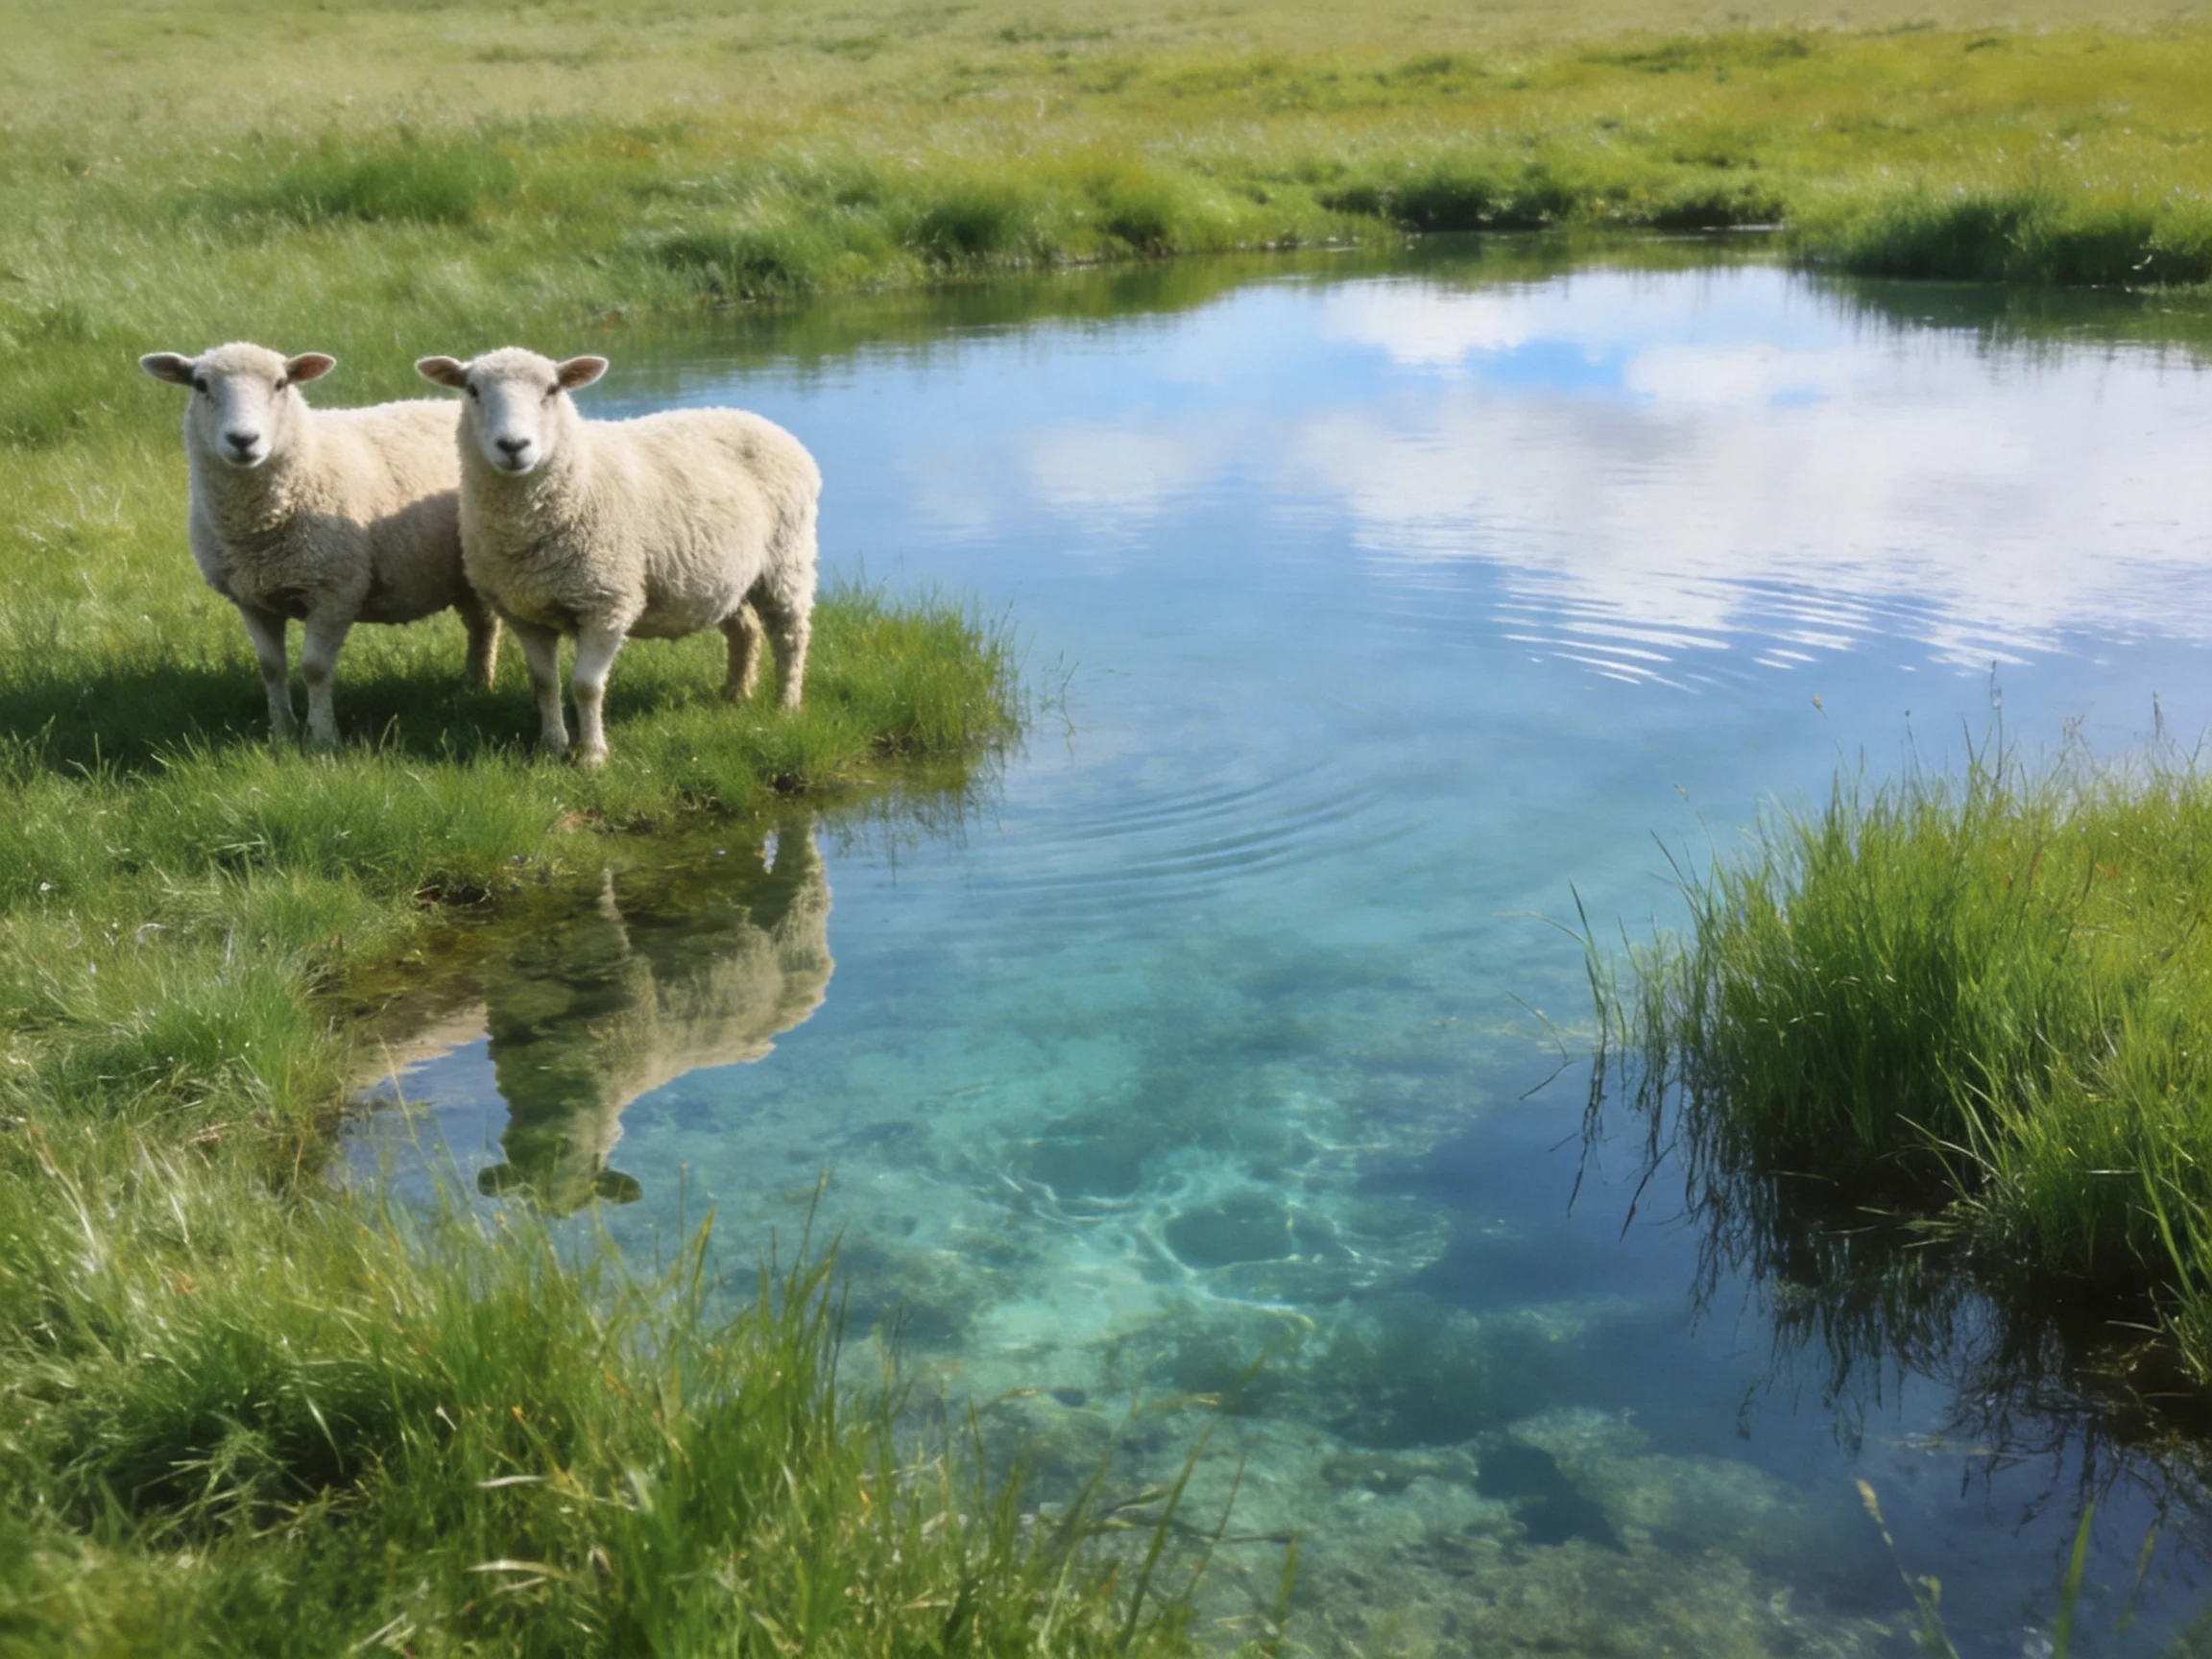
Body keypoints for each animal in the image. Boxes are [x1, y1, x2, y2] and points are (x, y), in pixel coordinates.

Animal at [140, 342, 500, 748]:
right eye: (201, 385)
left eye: (281, 383)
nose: (243, 440)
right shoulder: (251, 598)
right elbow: (271, 668)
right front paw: (282, 733)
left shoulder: (335, 590)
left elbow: (314, 668)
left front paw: (324, 739)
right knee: (480, 625)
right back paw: (474, 684)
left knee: (486, 625)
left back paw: (480, 686)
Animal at [414, 347, 820, 769]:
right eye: (472, 390)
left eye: (553, 389)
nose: (513, 446)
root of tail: (758, 421)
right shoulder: (523, 612)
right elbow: (544, 683)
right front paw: (551, 746)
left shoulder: (607, 603)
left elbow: (586, 686)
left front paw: (592, 756)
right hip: (724, 576)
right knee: (745, 630)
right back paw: (736, 693)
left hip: (786, 559)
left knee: (790, 635)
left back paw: (787, 706)